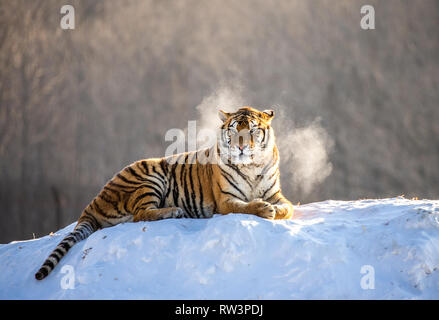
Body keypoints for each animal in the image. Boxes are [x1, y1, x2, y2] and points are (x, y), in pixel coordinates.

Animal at [35, 107, 296, 280]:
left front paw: (276, 209)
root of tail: (93, 203)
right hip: (150, 175)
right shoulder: (225, 200)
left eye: (251, 130)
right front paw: (264, 208)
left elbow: (288, 207)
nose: (240, 146)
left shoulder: (276, 193)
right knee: (141, 214)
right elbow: (246, 206)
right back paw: (175, 211)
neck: (252, 166)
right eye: (233, 130)